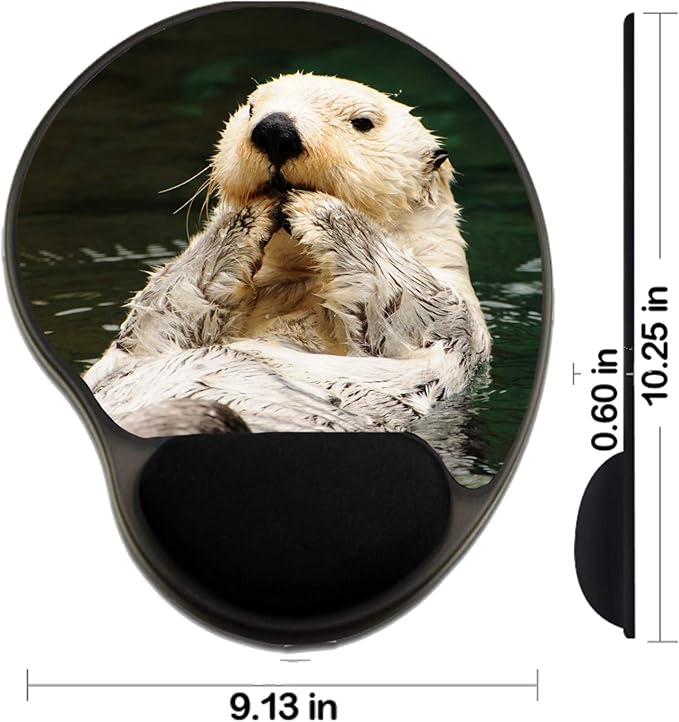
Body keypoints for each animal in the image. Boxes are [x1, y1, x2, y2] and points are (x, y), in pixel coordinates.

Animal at [84, 73, 491, 435]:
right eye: (251, 108)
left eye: (363, 122)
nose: (275, 129)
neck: (299, 284)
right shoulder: (145, 342)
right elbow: (161, 309)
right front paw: (245, 218)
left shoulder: (455, 323)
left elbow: (412, 304)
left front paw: (321, 211)